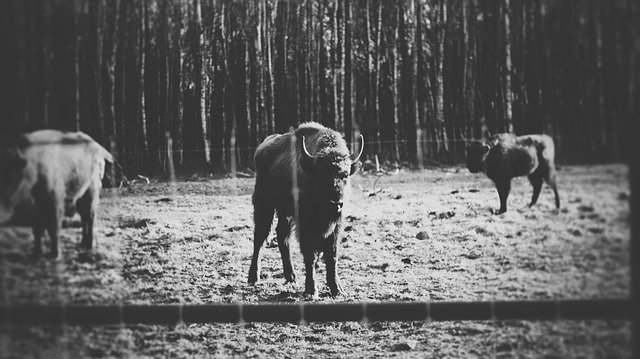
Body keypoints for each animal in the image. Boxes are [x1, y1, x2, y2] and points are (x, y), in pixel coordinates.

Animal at [0, 129, 114, 258]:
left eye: (9, 175)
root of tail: (96, 144)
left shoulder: (54, 202)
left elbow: (53, 227)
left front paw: (55, 255)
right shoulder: (35, 207)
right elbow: (37, 230)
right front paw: (36, 253)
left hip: (90, 192)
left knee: (89, 217)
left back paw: (89, 244)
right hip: (80, 197)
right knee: (84, 217)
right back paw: (83, 243)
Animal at [248, 122, 362, 300]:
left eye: (345, 175)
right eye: (320, 176)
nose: (335, 204)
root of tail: (262, 147)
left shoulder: (336, 225)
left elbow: (332, 255)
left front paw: (337, 290)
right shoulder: (305, 224)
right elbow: (310, 256)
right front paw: (311, 291)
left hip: (284, 212)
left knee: (282, 236)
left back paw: (291, 277)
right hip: (264, 205)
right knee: (260, 237)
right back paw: (253, 278)